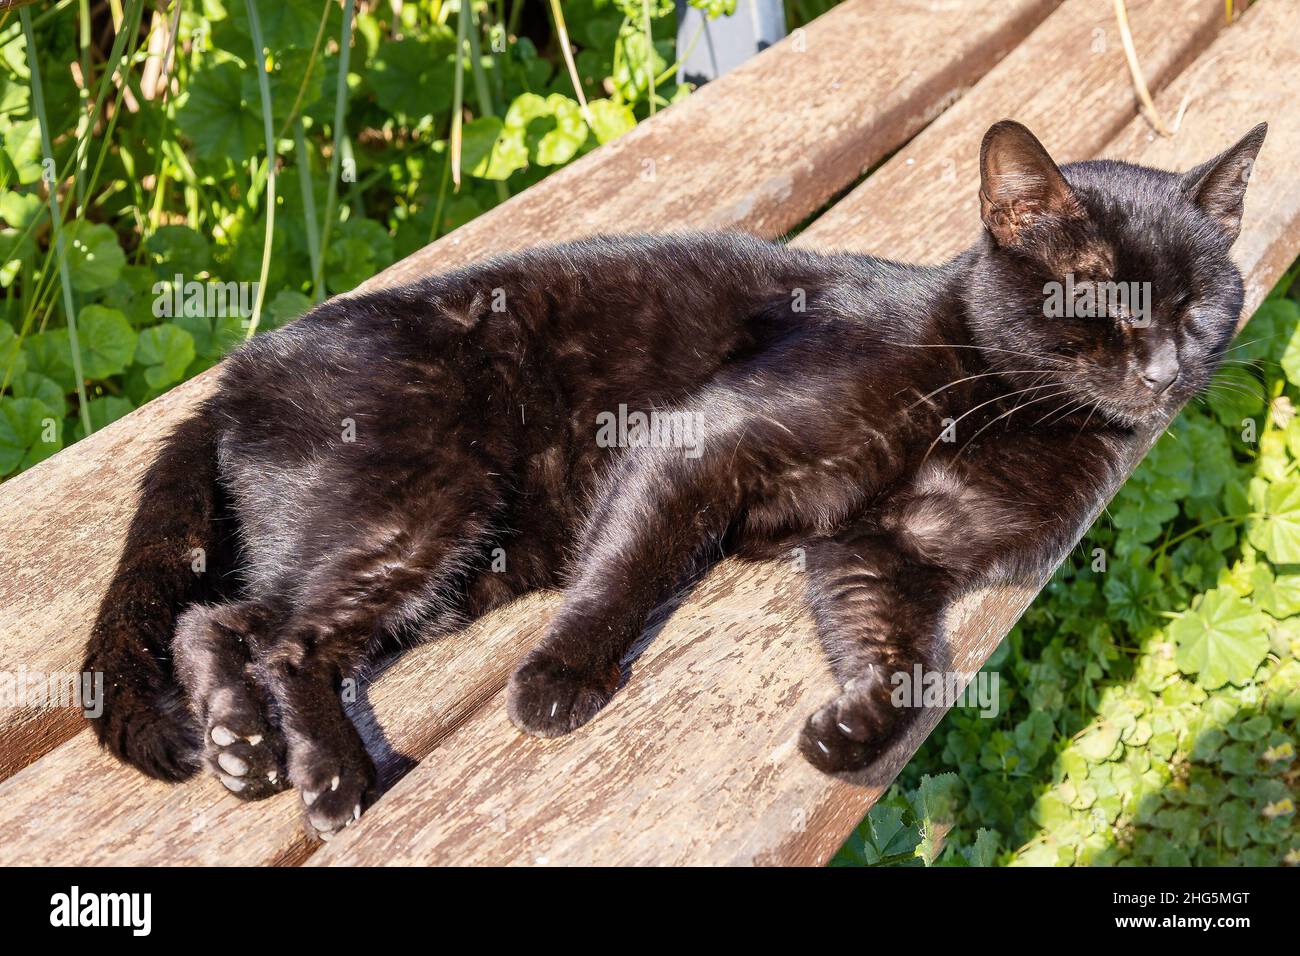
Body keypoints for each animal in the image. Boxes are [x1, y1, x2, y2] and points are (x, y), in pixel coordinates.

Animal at [81, 119, 1258, 837]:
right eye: (1093, 296)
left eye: (1200, 303)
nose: (1166, 368)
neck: (1000, 402)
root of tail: (237, 370)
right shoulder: (698, 442)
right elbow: (630, 571)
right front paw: (560, 680)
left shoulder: (881, 548)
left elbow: (907, 659)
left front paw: (853, 732)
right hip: (426, 503)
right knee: (281, 632)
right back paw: (328, 775)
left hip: (453, 562)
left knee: (223, 618)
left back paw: (242, 747)